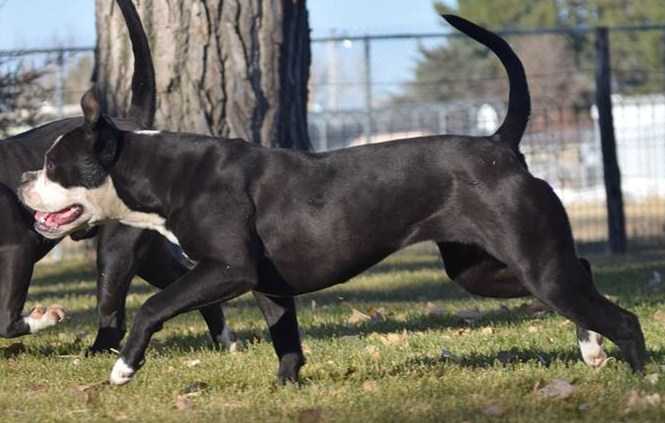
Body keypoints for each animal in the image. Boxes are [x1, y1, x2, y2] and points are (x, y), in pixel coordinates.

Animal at [0, 0, 239, 354]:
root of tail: (131, 124)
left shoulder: (18, 246)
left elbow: (5, 319)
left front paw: (43, 318)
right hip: (149, 253)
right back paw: (223, 339)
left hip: (115, 251)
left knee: (112, 312)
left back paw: (97, 350)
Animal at [19, 15, 644, 388]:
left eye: (54, 165)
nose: (23, 179)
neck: (160, 169)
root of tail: (500, 145)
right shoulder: (267, 285)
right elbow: (286, 340)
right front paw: (286, 388)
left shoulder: (227, 270)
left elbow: (152, 306)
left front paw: (124, 367)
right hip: (485, 270)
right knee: (582, 278)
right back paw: (591, 351)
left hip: (534, 266)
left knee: (622, 315)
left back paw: (637, 377)